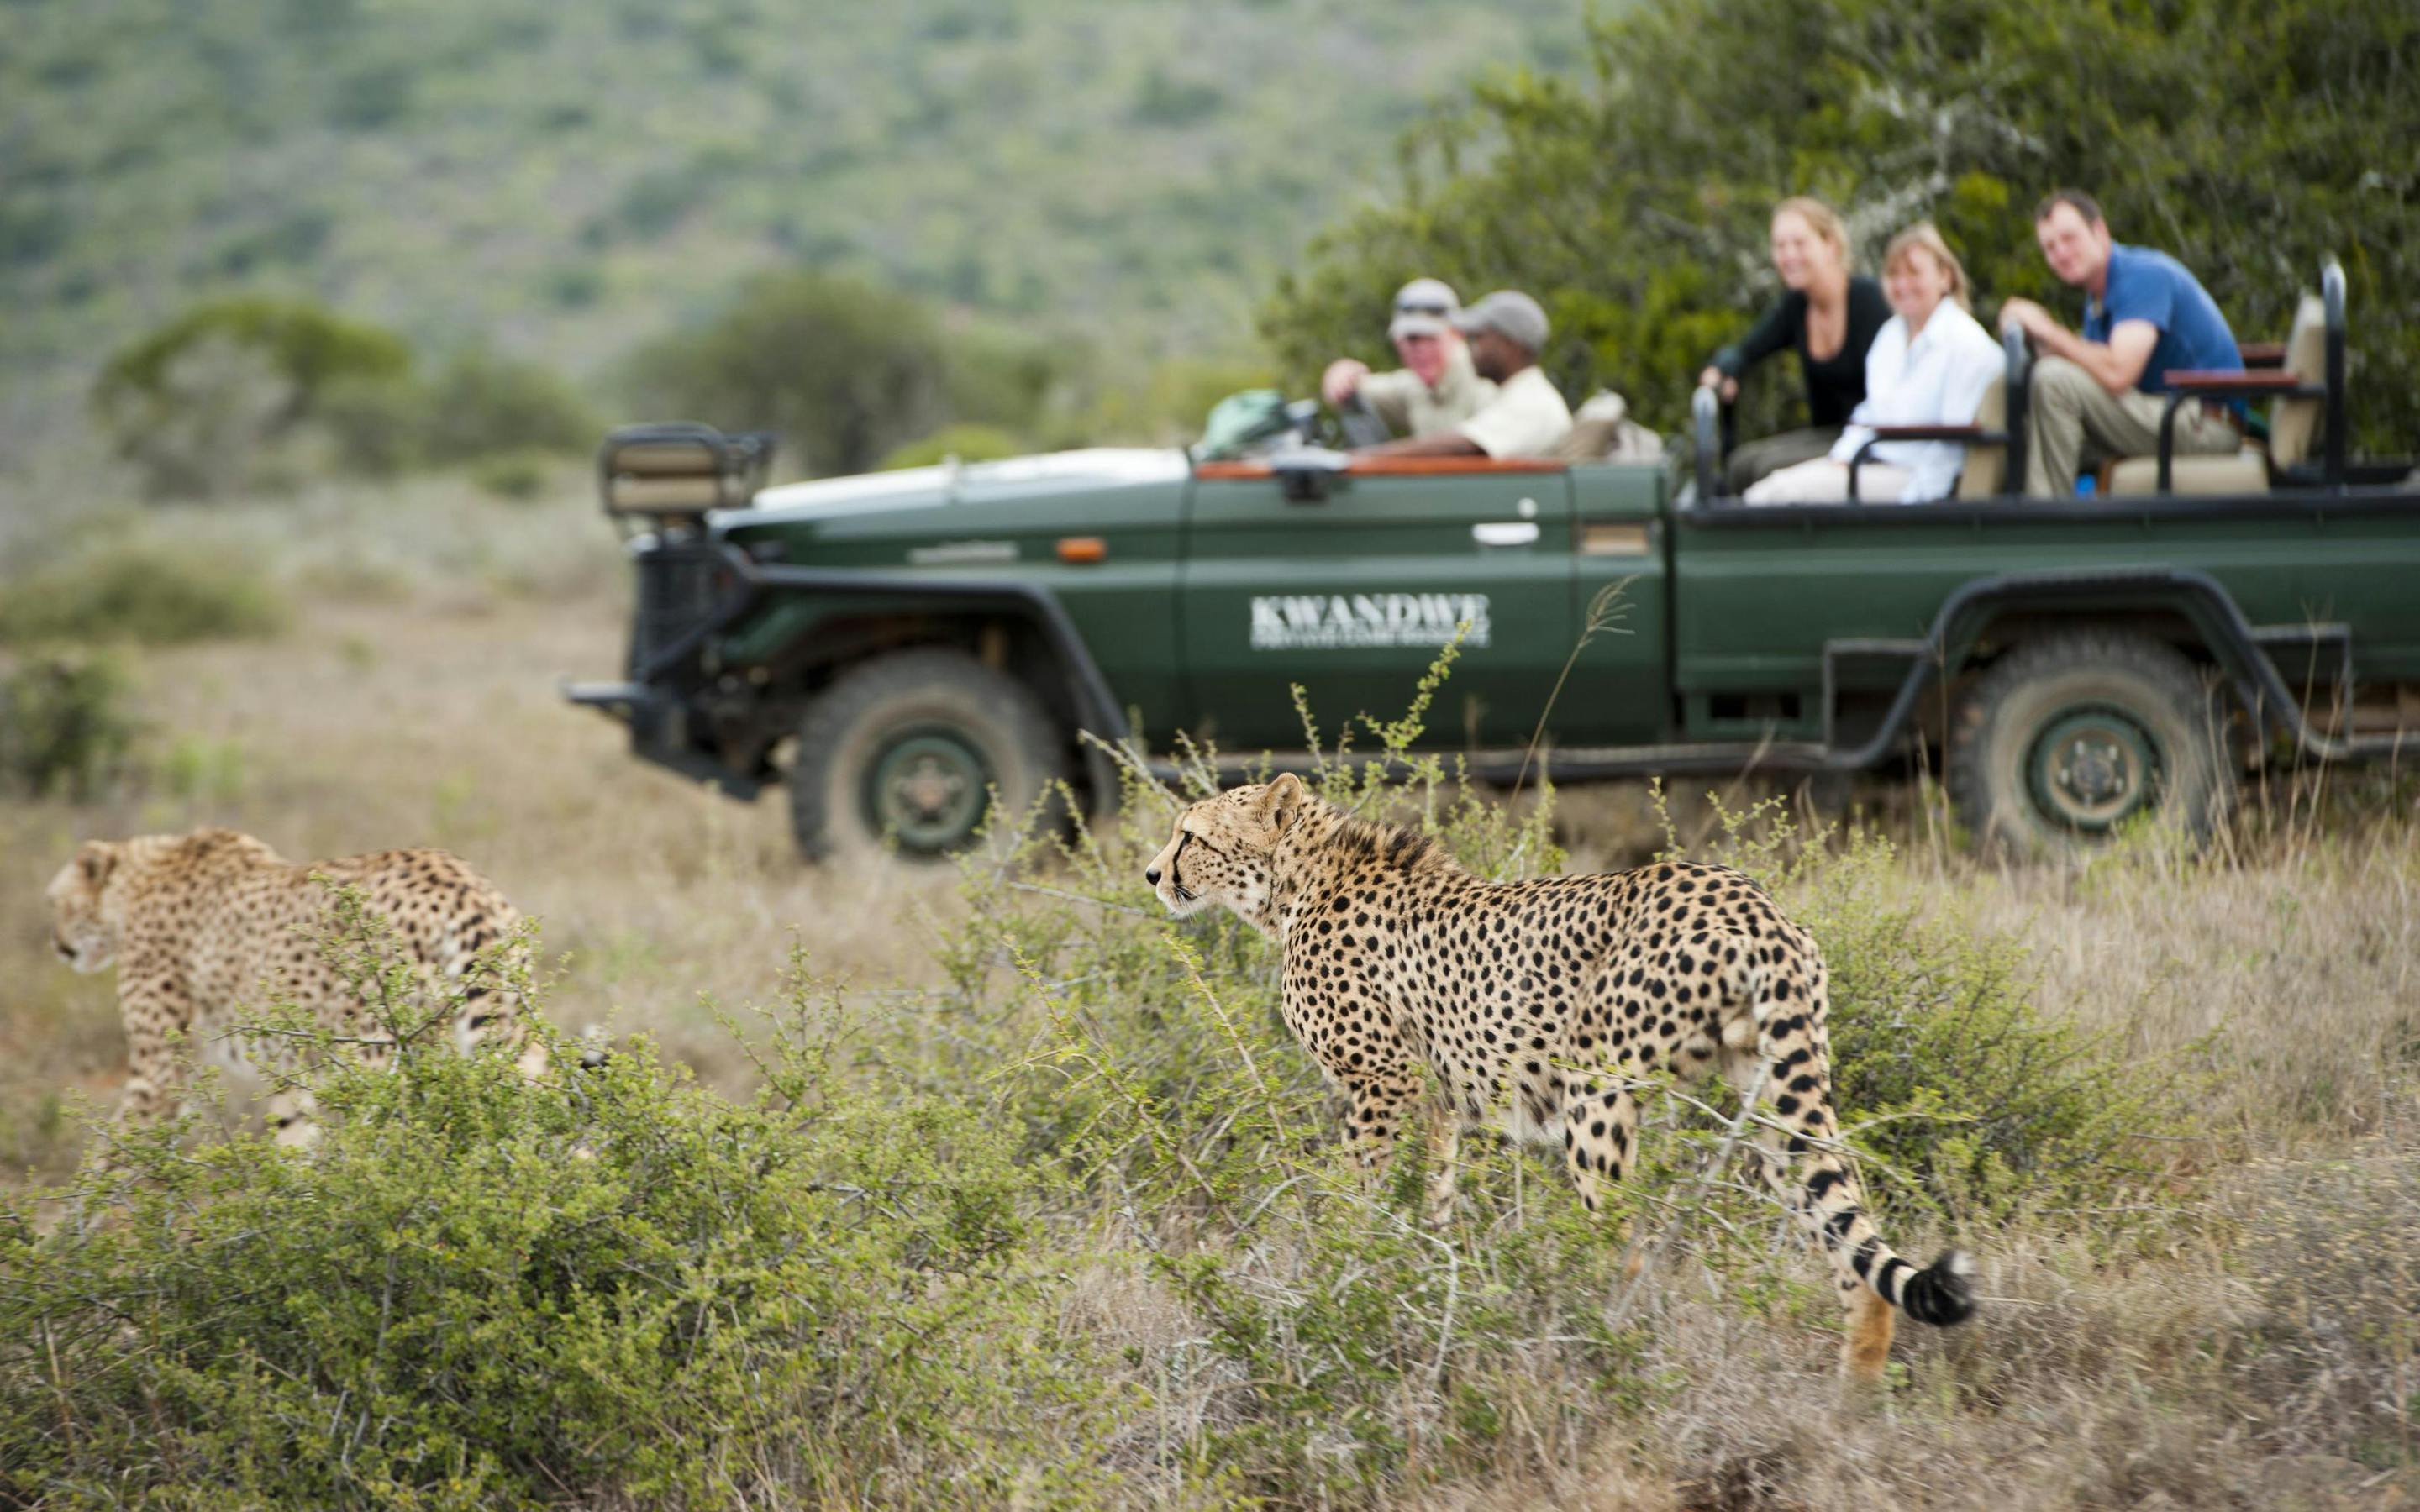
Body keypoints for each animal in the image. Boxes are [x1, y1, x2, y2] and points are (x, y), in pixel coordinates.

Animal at [46, 828, 543, 1150]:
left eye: (54, 902)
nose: (56, 945)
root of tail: (457, 878)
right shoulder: (291, 1071)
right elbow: (293, 1142)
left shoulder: (158, 1074)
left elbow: (110, 1162)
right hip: (512, 1034)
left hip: (375, 1056)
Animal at [1144, 774, 1975, 1379]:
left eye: (1193, 836)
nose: (1153, 873)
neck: (1298, 884)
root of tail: (1748, 899)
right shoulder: (1435, 1105)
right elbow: (1431, 1208)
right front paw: (1412, 1287)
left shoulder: (1382, 1084)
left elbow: (1363, 1198)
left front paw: (1346, 1276)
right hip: (1773, 1092)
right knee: (1849, 1241)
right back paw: (1852, 1405)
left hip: (1595, 1089)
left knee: (1622, 1243)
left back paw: (1590, 1343)